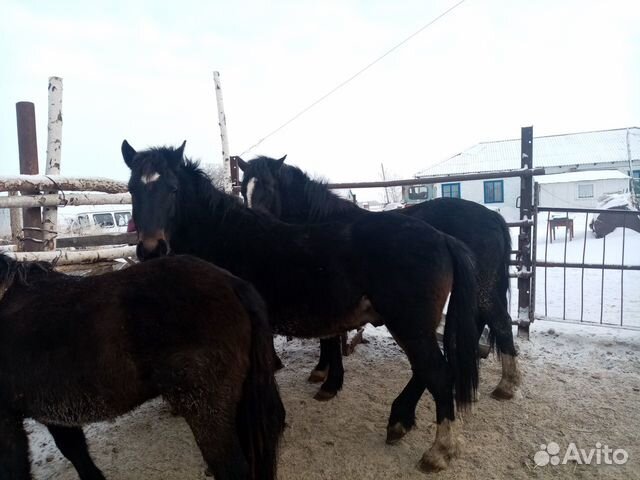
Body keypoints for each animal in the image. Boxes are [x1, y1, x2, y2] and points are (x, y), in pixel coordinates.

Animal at [120, 141, 480, 470]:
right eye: (132, 189)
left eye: (173, 189)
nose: (151, 249)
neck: (224, 237)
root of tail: (442, 237)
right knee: (426, 371)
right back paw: (400, 422)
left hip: (410, 327)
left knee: (438, 374)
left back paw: (439, 451)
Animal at [238, 156, 524, 400]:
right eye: (243, 189)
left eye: (270, 186)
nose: (253, 219)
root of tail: (493, 217)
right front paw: (321, 370)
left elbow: (330, 339)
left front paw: (329, 380)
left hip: (481, 287)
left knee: (499, 321)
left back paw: (506, 385)